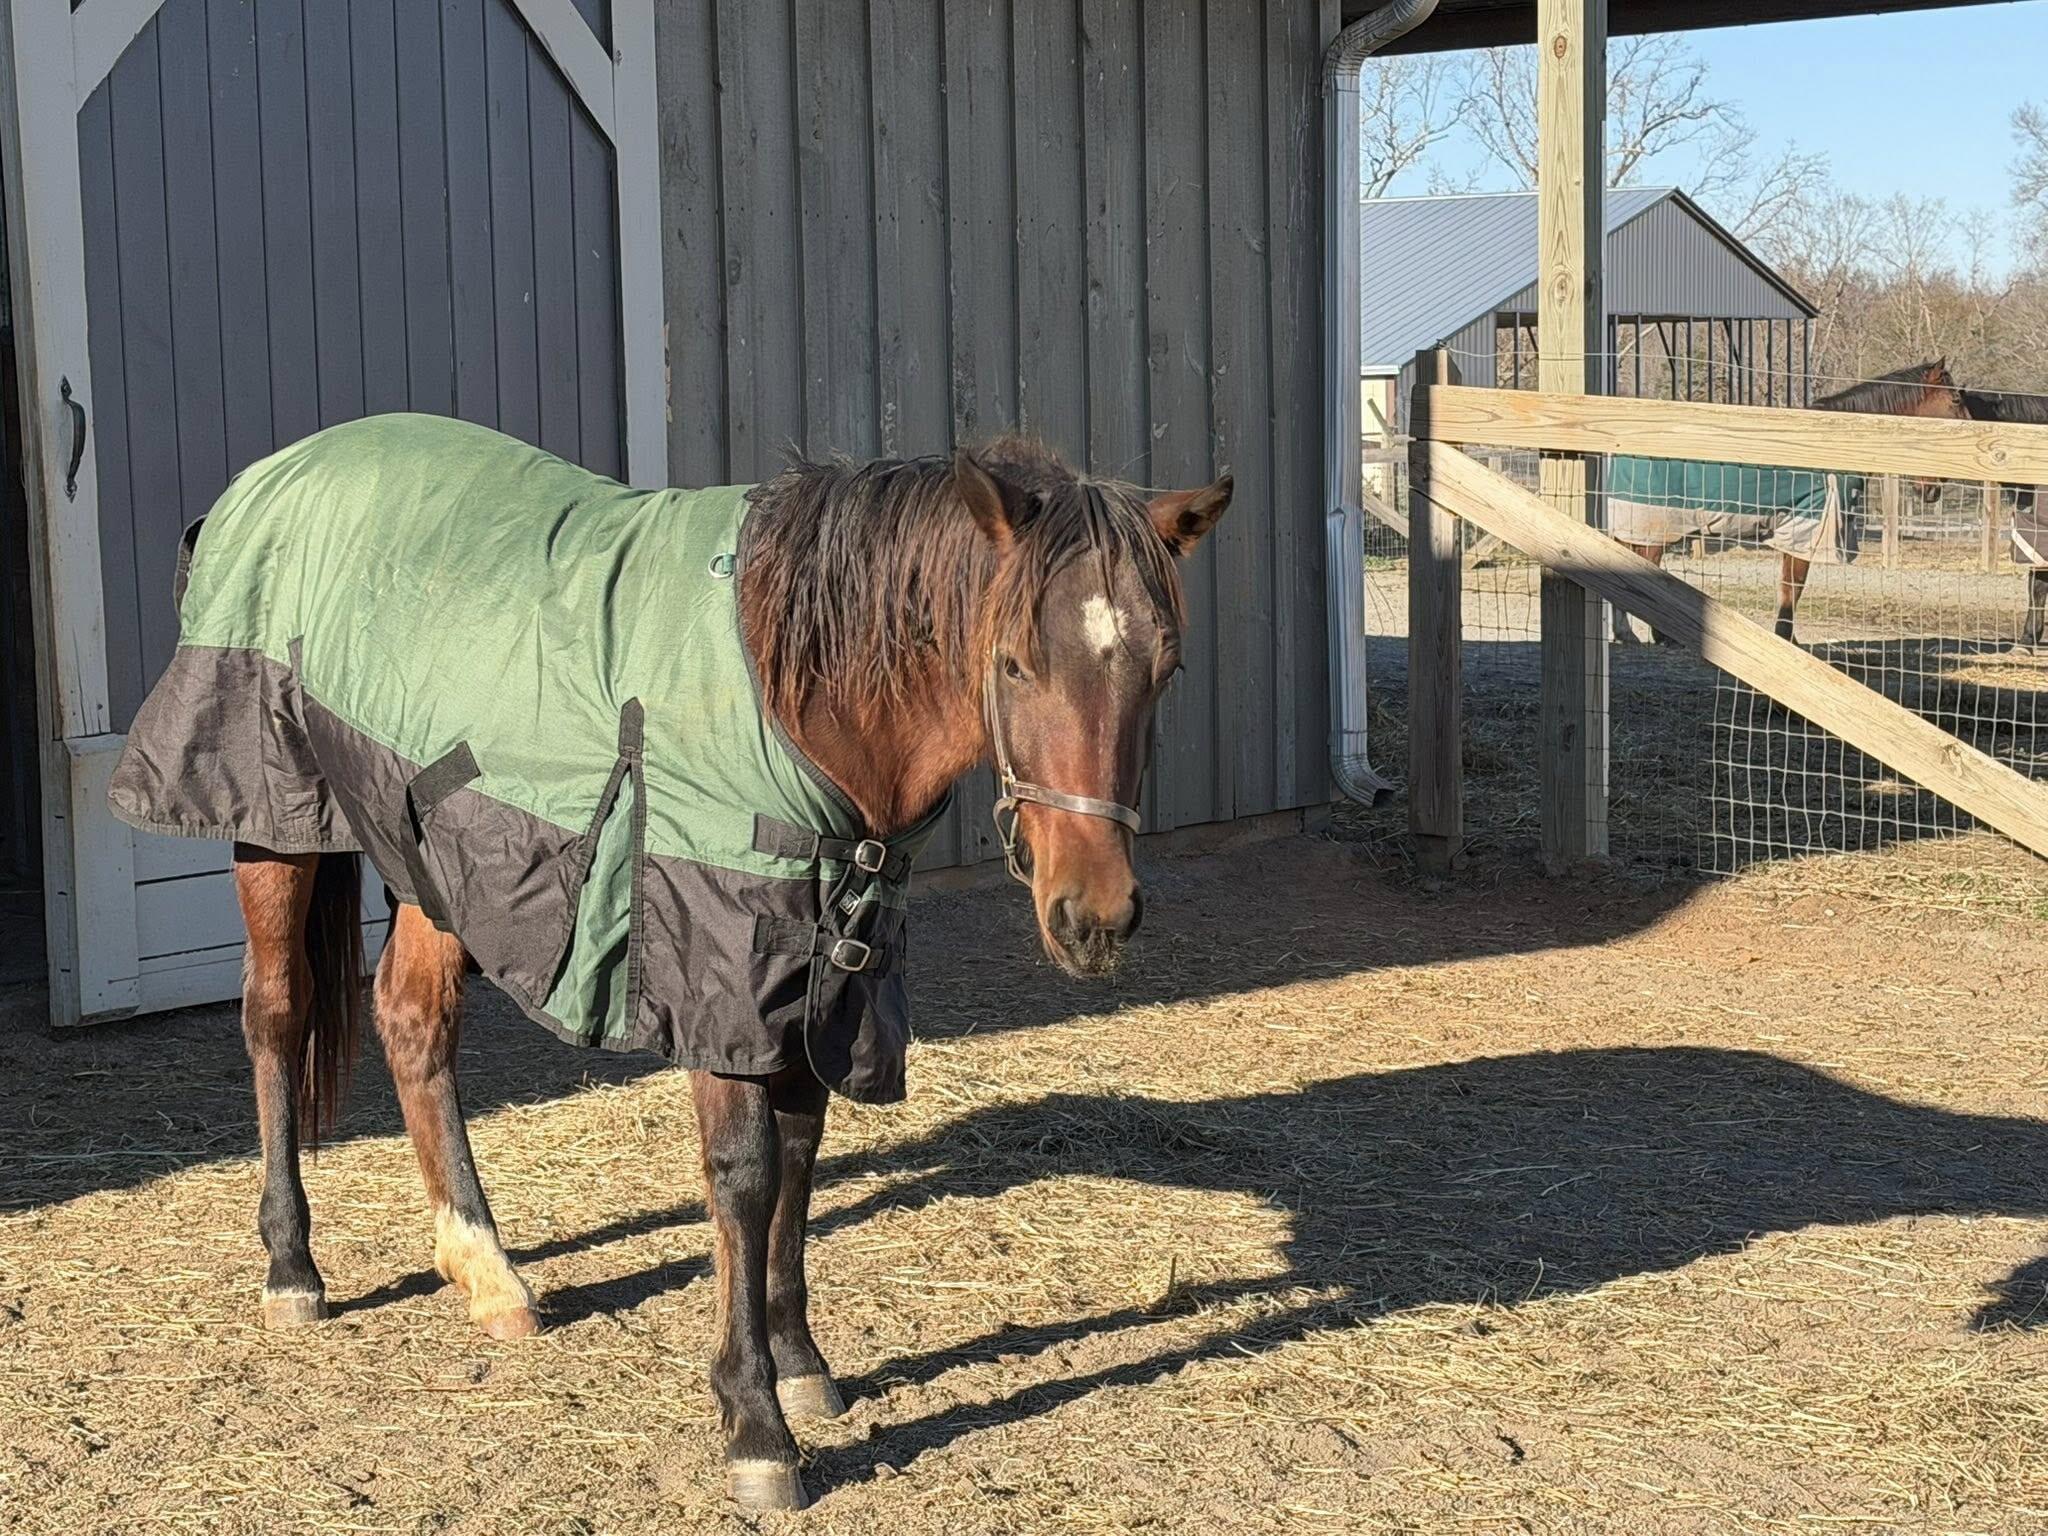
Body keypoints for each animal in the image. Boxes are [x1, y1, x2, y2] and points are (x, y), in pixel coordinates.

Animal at [107, 424, 1231, 1513]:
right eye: (1012, 663)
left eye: (1165, 667)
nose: (1094, 916)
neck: (793, 694)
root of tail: (265, 479)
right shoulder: (719, 971)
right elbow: (743, 1177)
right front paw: (755, 1427)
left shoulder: (818, 969)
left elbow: (800, 1157)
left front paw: (801, 1365)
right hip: (277, 827)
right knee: (277, 1014)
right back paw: (294, 1268)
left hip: (441, 844)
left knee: (413, 1022)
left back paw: (486, 1271)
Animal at [1607, 361, 1967, 645]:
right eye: (1954, 400)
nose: (1934, 490)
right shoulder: (1805, 533)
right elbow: (1792, 590)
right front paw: (1786, 639)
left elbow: (1788, 590)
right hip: (1654, 529)